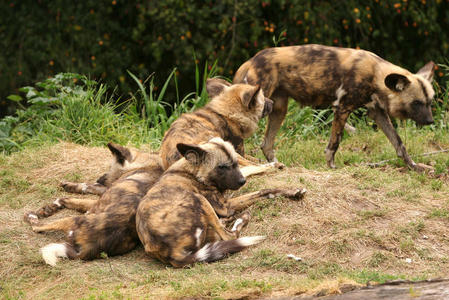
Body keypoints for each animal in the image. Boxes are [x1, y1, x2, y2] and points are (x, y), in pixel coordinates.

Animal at [25, 142, 164, 264]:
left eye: (110, 167)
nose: (99, 179)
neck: (147, 166)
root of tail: (91, 247)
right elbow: (85, 186)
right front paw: (68, 186)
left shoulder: (96, 201)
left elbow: (66, 199)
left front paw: (50, 207)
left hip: (71, 219)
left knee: (37, 227)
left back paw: (31, 216)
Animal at [233, 43, 436, 172]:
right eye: (416, 103)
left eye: (429, 102)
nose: (430, 121)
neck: (376, 74)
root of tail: (251, 60)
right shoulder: (342, 107)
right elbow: (335, 142)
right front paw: (331, 166)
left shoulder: (377, 112)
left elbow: (399, 143)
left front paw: (413, 166)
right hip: (257, 106)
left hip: (278, 109)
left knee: (266, 144)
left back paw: (277, 165)